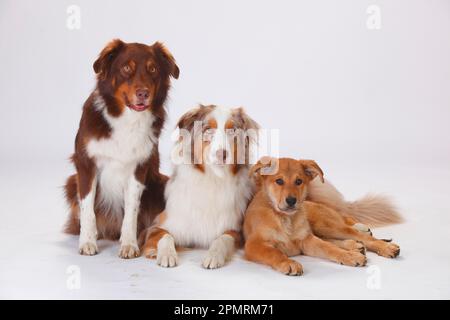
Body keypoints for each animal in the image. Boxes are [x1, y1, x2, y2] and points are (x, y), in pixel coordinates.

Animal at [63, 39, 179, 258]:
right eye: (126, 68)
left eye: (153, 69)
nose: (143, 94)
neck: (127, 119)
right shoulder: (86, 165)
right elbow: (87, 208)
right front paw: (87, 241)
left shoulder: (139, 168)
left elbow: (131, 211)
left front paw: (129, 244)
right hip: (71, 182)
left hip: (160, 183)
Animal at [141, 104, 260, 268]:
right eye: (208, 129)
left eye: (232, 131)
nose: (222, 154)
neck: (213, 179)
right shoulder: (157, 226)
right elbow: (165, 236)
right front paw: (166, 254)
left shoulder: (235, 230)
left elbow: (222, 239)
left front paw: (213, 256)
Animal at [244, 158, 400, 276]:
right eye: (279, 181)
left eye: (299, 181)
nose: (291, 201)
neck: (285, 219)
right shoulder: (254, 245)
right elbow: (274, 252)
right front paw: (288, 262)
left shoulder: (306, 240)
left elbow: (328, 248)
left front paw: (348, 256)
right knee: (337, 238)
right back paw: (356, 247)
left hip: (325, 224)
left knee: (357, 233)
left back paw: (384, 247)